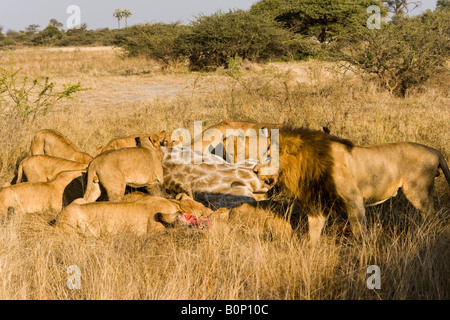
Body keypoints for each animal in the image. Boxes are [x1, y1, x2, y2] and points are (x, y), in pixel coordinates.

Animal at [253, 127, 450, 242]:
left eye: (269, 157)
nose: (254, 170)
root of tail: (435, 150)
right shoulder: (318, 203)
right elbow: (313, 232)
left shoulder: (354, 200)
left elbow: (359, 231)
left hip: (417, 191)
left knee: (432, 217)